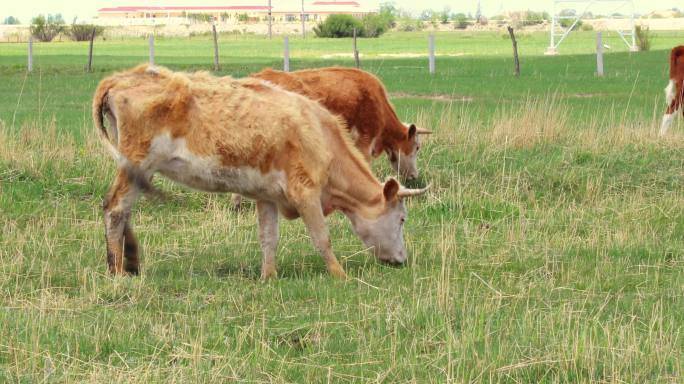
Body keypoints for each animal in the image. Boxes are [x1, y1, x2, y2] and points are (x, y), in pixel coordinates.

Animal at [92, 64, 428, 280]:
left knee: (124, 211)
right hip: (137, 164)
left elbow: (268, 238)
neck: (320, 136)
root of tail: (119, 79)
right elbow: (322, 237)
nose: (402, 260)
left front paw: (269, 277)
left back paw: (129, 262)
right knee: (115, 209)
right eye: (402, 218)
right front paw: (340, 275)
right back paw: (117, 271)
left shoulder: (267, 197)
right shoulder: (305, 193)